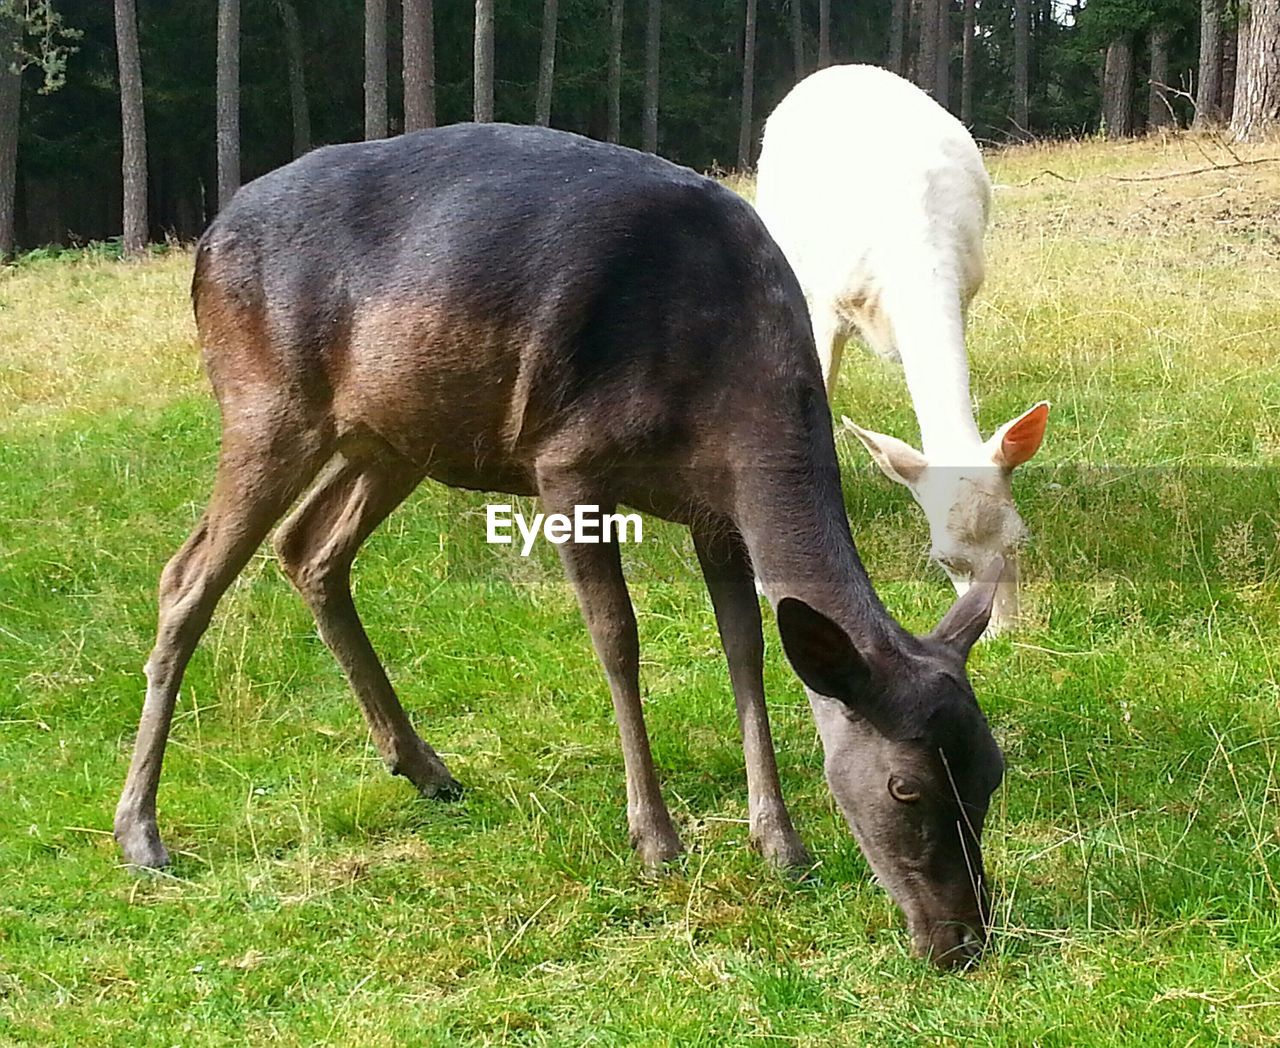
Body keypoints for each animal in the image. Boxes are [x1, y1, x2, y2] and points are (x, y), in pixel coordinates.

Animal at [115, 122, 1003, 967]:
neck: (725, 392)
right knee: (187, 576)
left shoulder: (714, 513)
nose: (962, 938)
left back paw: (424, 766)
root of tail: (206, 240)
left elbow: (745, 647)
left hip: (394, 434)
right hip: (265, 399)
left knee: (310, 548)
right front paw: (657, 839)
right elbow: (618, 637)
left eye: (991, 772)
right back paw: (140, 833)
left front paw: (781, 844)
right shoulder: (567, 463)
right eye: (904, 789)